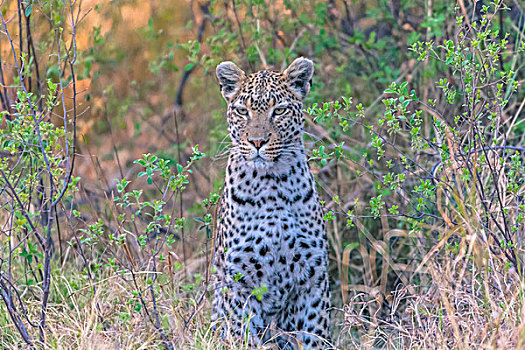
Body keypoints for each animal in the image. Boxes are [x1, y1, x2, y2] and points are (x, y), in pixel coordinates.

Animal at [211, 58, 330, 350]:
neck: (271, 185)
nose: (257, 142)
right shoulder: (239, 283)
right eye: (242, 111)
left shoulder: (312, 279)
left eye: (279, 111)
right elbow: (243, 334)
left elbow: (314, 334)